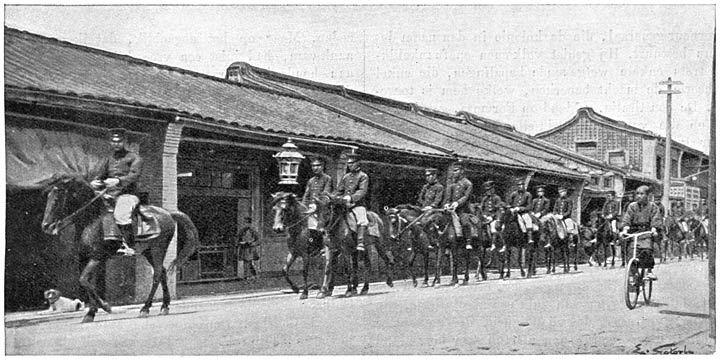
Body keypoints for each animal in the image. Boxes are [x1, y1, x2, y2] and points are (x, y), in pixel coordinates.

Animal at [40, 174, 198, 324]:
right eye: (47, 197)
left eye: (57, 198)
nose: (46, 226)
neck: (92, 220)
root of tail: (169, 214)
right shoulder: (86, 258)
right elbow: (87, 282)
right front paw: (91, 313)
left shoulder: (97, 258)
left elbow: (84, 280)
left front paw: (105, 307)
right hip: (148, 252)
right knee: (163, 272)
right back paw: (164, 306)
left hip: (158, 249)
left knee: (157, 274)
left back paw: (145, 308)